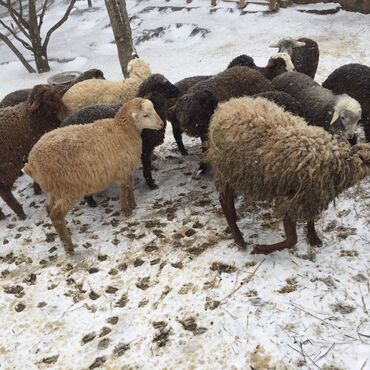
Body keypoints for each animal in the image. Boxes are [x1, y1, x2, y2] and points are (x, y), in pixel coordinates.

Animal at [0, 84, 68, 220]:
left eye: (57, 95)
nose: (65, 114)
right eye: (49, 100)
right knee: (4, 191)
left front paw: (37, 190)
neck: (32, 118)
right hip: (7, 167)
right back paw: (20, 212)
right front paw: (38, 189)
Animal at [23, 97, 164, 254]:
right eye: (145, 115)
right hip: (68, 189)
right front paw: (126, 210)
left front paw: (133, 203)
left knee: (48, 208)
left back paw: (63, 238)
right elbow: (123, 188)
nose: (162, 124)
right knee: (56, 215)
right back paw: (69, 247)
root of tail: (32, 163)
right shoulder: (121, 169)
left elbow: (130, 184)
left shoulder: (125, 168)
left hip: (54, 189)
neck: (122, 130)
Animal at [205, 96, 370, 254]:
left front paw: (313, 238)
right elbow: (292, 240)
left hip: (237, 172)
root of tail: (226, 106)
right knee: (223, 200)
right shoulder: (292, 199)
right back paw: (239, 238)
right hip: (226, 169)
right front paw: (260, 249)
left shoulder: (310, 197)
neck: (336, 161)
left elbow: (309, 222)